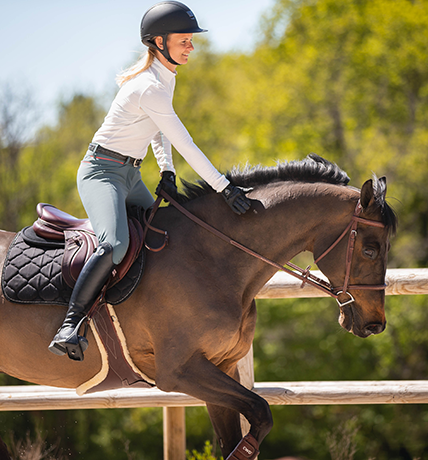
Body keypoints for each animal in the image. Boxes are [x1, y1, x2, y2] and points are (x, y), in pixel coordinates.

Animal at [0, 155, 398, 460]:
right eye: (370, 249)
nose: (375, 324)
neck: (210, 257)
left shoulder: (221, 368)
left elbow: (241, 429)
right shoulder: (180, 371)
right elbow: (260, 413)